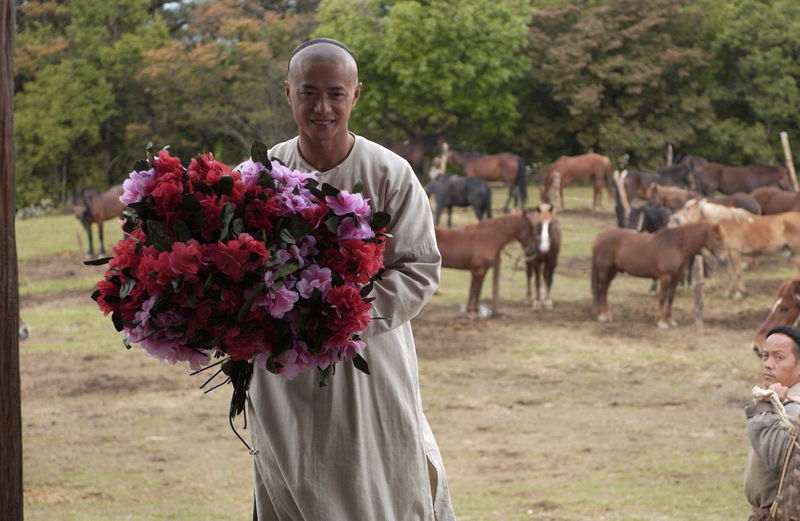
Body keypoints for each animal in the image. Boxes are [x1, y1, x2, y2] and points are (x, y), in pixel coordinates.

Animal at [588, 221, 724, 328]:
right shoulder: (665, 277)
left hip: (612, 270)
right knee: (601, 289)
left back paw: (606, 314)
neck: (676, 246)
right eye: (717, 237)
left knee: (605, 290)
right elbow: (662, 297)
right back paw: (602, 315)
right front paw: (661, 322)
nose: (722, 258)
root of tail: (598, 237)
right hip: (604, 270)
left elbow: (671, 298)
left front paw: (670, 320)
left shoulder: (675, 279)